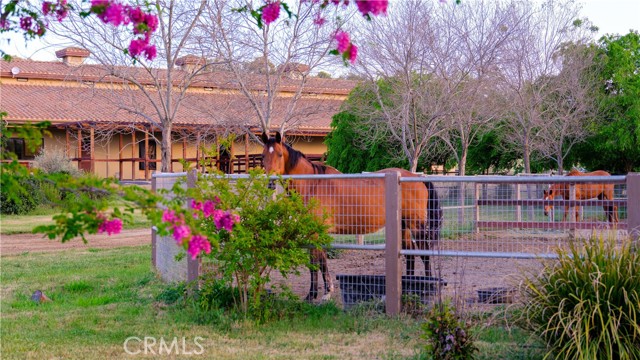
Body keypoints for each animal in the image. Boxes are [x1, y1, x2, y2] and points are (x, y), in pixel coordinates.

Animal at [260, 132, 440, 300]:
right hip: (403, 225)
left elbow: (316, 261)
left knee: (424, 253)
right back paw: (409, 286)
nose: (270, 182)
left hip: (415, 224)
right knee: (409, 253)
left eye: (280, 154)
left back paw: (427, 287)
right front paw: (322, 292)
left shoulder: (316, 231)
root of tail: (416, 178)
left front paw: (316, 294)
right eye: (263, 156)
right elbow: (320, 260)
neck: (313, 184)